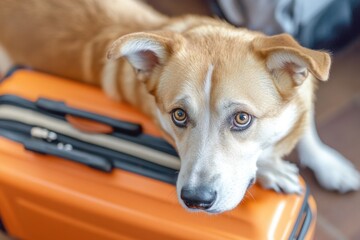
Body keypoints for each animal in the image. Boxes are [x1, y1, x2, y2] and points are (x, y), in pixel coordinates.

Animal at [0, 0, 358, 214]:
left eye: (242, 118)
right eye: (179, 115)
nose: (196, 200)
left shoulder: (302, 92)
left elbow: (307, 129)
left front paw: (330, 165)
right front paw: (273, 170)